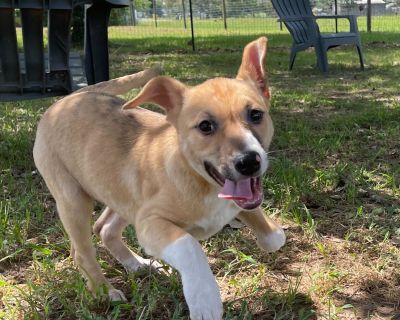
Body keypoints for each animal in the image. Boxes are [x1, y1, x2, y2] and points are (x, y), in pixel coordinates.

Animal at [33, 38, 284, 320]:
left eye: (256, 114)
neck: (199, 180)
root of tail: (69, 98)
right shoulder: (150, 223)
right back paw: (104, 291)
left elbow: (272, 234)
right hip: (73, 199)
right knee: (82, 252)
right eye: (205, 126)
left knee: (103, 228)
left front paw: (264, 231)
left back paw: (137, 264)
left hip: (122, 192)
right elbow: (189, 246)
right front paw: (205, 300)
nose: (249, 162)